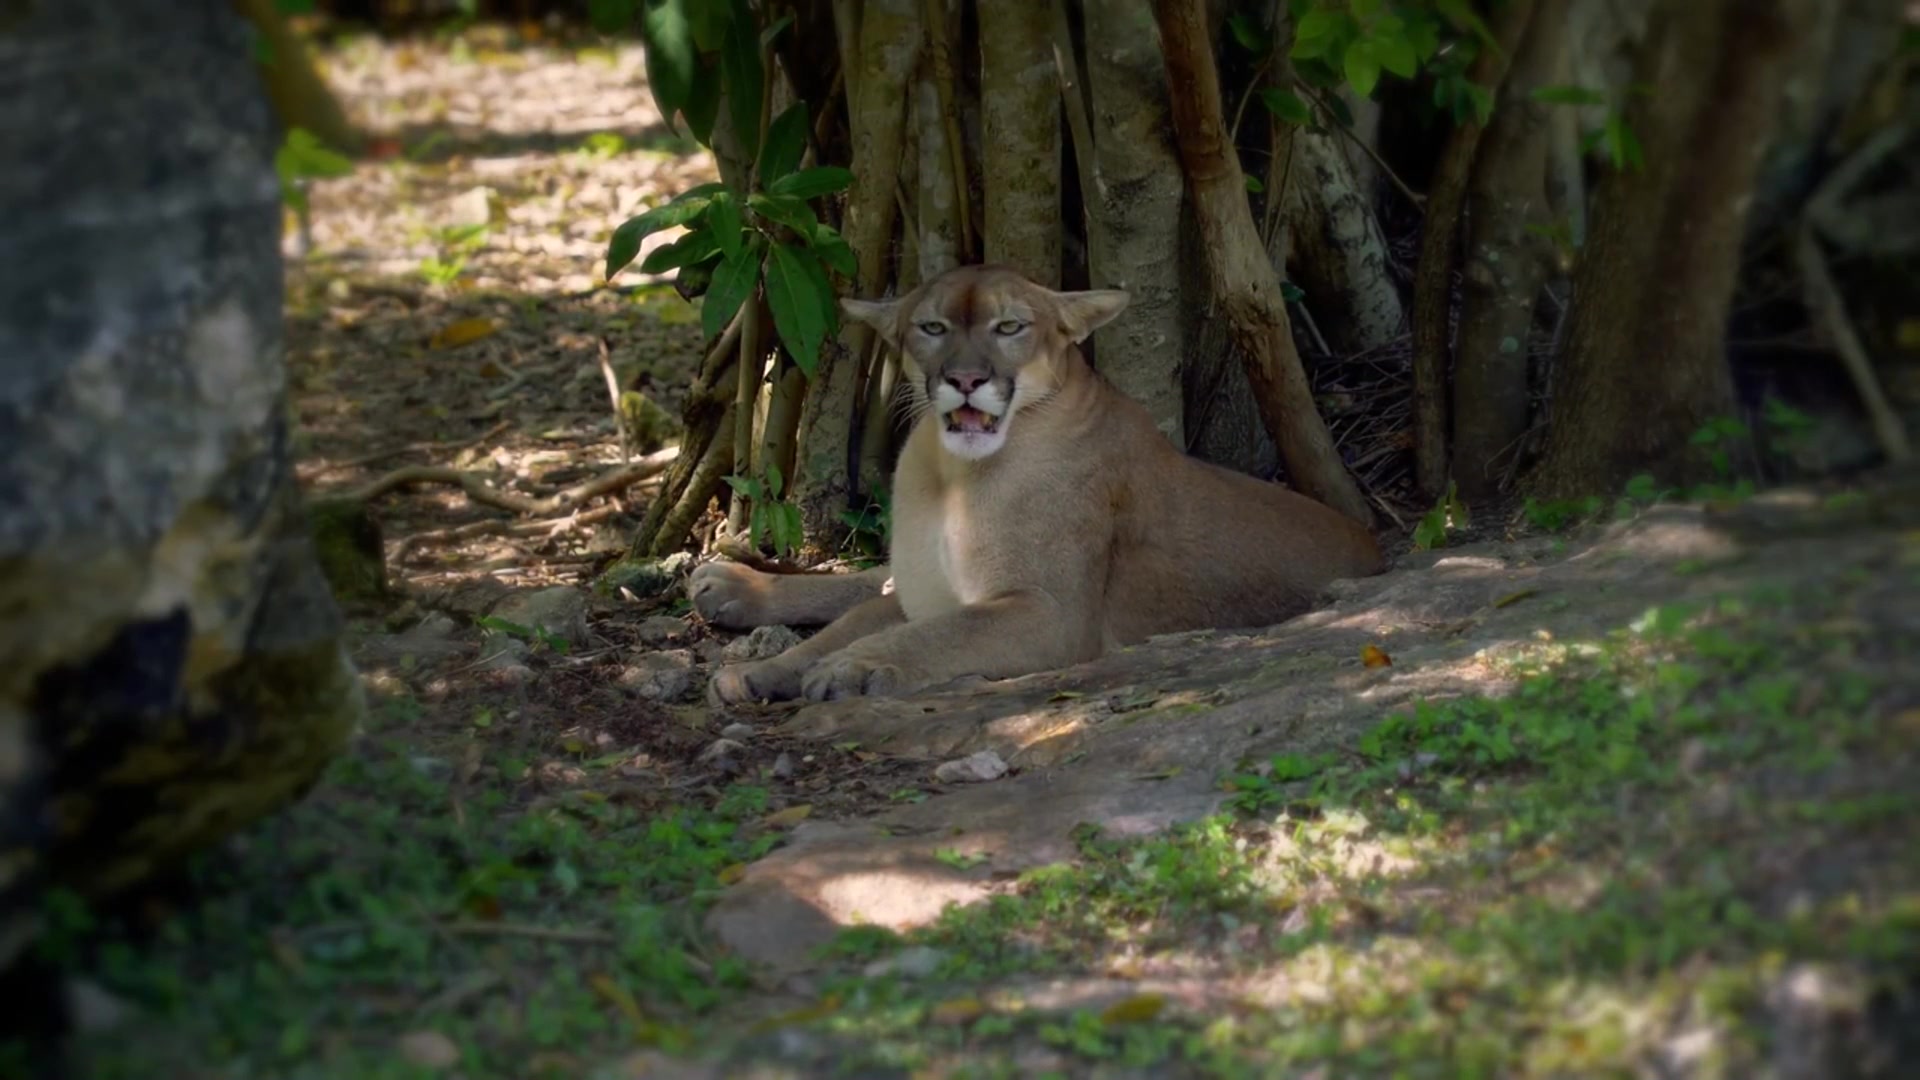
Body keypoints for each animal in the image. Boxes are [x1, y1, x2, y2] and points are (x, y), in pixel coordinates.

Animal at [691, 259, 1382, 699]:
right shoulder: (934, 591)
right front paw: (766, 670)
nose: (966, 379)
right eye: (933, 327)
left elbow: (935, 634)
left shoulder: (1048, 612)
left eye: (1010, 327)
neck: (949, 476)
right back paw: (733, 586)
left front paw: (848, 668)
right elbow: (872, 616)